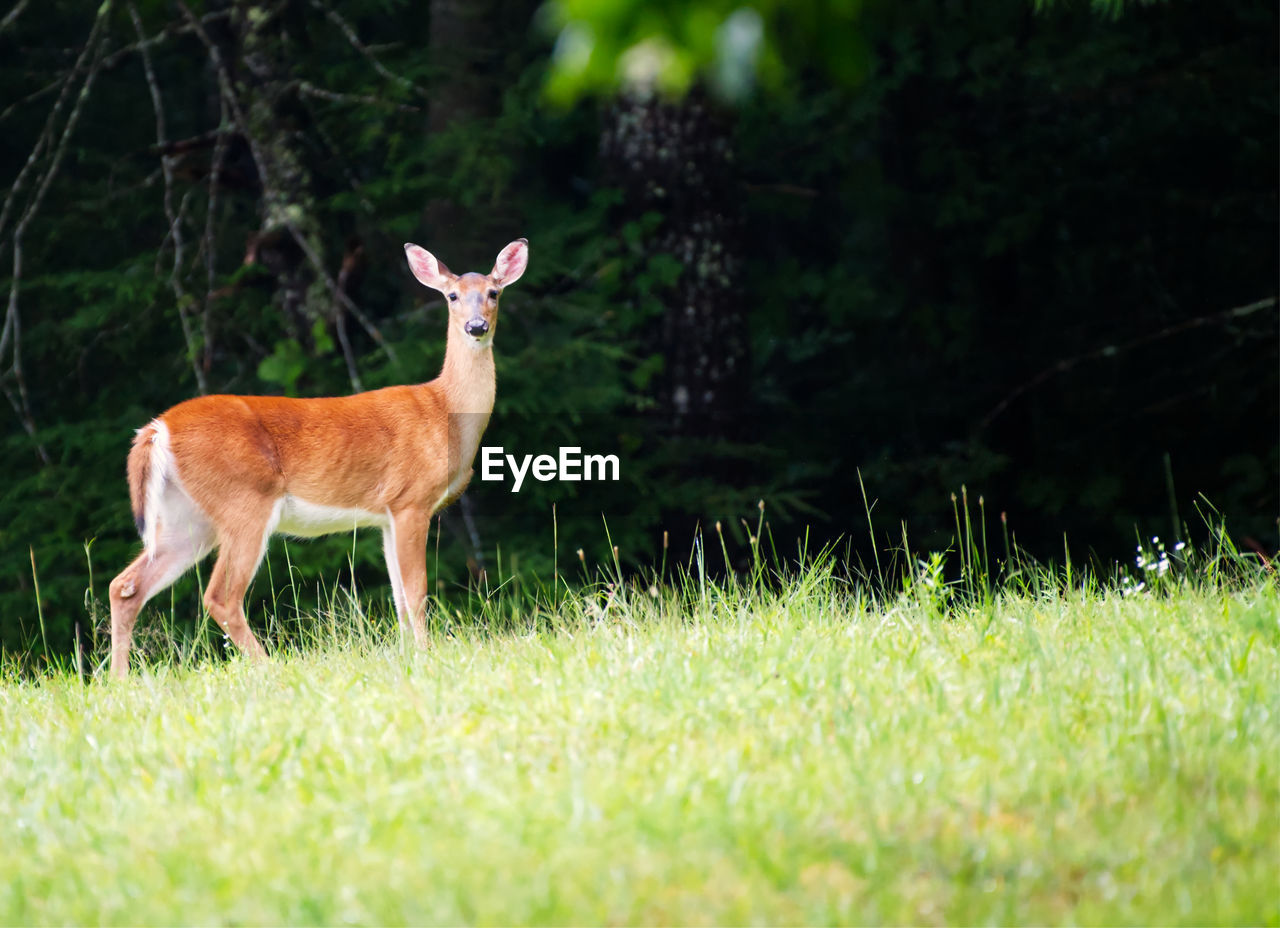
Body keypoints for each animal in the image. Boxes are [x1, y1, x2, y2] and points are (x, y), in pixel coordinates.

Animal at [107, 236, 527, 680]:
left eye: (494, 293)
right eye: (452, 296)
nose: (476, 326)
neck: (444, 411)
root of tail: (157, 429)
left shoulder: (387, 515)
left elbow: (398, 596)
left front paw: (412, 655)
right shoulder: (411, 500)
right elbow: (416, 592)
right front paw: (427, 655)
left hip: (186, 516)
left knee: (126, 586)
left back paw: (119, 680)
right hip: (244, 501)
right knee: (220, 596)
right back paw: (268, 667)